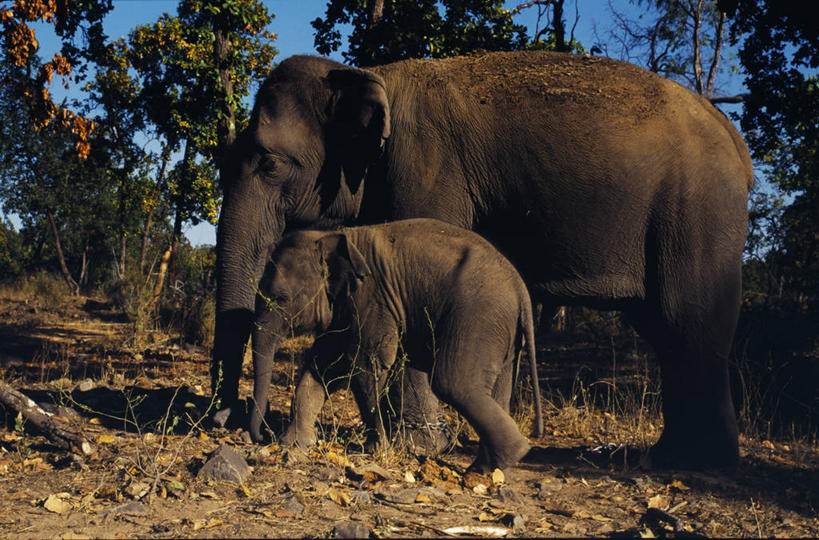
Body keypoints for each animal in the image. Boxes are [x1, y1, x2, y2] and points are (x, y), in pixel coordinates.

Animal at [250, 218, 544, 472]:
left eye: (281, 298)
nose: (261, 436)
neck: (336, 234)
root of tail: (522, 291)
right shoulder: (346, 309)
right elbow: (324, 366)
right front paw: (292, 444)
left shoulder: (373, 299)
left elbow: (365, 365)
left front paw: (376, 449)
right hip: (502, 331)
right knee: (496, 391)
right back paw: (492, 468)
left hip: (478, 316)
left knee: (453, 382)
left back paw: (491, 465)